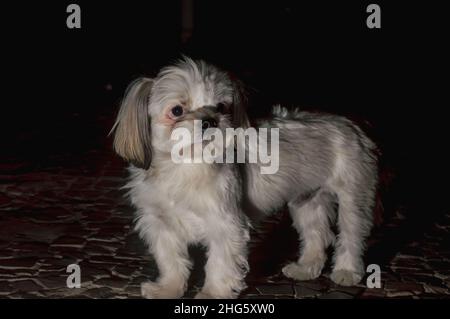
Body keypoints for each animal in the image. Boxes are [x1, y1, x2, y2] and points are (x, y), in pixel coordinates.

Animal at [110, 57, 378, 300]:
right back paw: (306, 269)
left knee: (351, 235)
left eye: (220, 107)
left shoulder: (225, 224)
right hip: (306, 202)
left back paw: (346, 270)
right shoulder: (161, 224)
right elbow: (171, 261)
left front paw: (212, 294)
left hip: (353, 199)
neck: (185, 166)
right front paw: (168, 289)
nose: (210, 120)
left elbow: (219, 264)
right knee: (317, 234)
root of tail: (350, 123)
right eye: (177, 111)